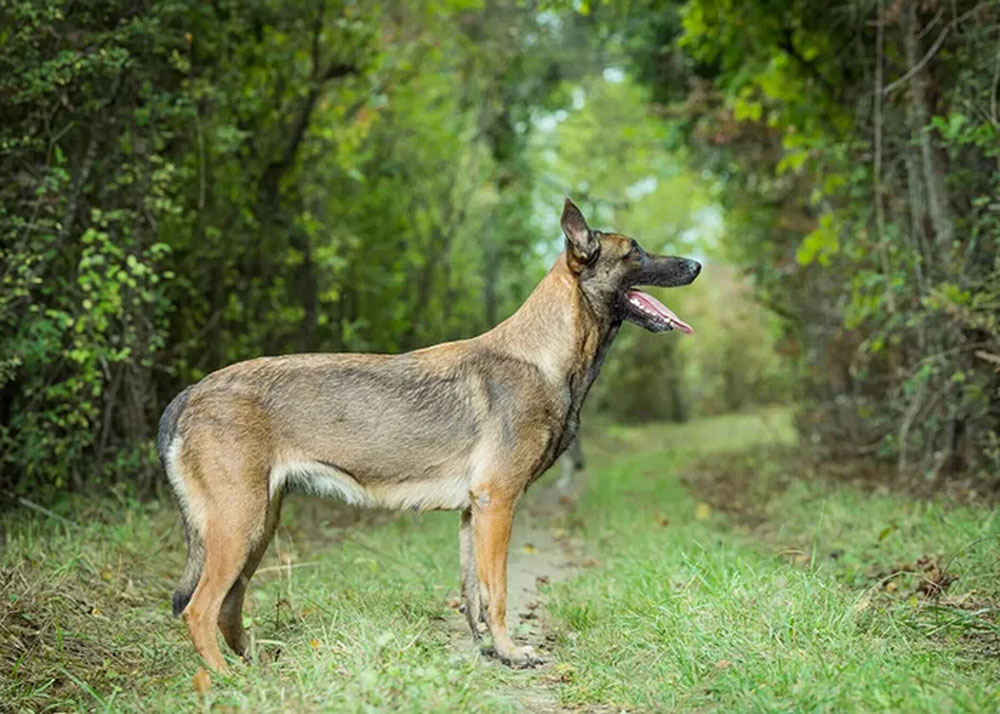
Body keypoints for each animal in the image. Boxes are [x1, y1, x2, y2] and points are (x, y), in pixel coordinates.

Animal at [158, 197, 704, 672]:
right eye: (635, 251)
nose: (697, 264)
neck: (543, 355)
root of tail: (190, 393)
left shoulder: (473, 513)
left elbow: (473, 595)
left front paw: (488, 650)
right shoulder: (497, 504)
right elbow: (499, 592)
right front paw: (511, 653)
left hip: (257, 526)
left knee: (228, 606)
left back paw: (250, 670)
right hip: (239, 525)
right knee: (200, 609)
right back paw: (227, 681)